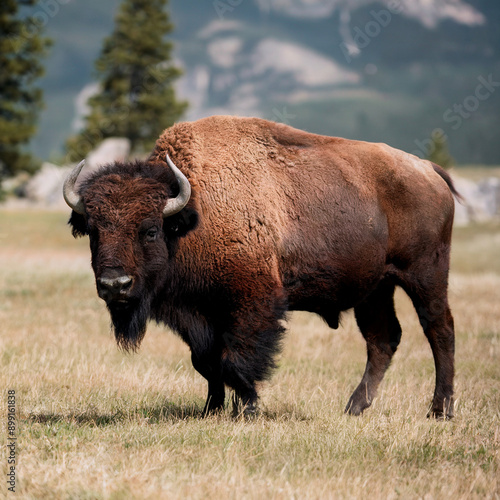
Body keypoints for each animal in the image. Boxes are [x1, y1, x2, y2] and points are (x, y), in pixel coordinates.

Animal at [62, 116, 458, 418]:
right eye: (93, 230)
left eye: (150, 230)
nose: (115, 284)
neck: (193, 214)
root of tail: (429, 171)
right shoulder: (198, 314)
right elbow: (206, 362)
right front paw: (211, 409)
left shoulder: (252, 302)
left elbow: (236, 359)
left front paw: (248, 408)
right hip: (374, 289)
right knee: (383, 339)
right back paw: (354, 408)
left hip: (425, 276)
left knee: (439, 331)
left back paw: (439, 410)